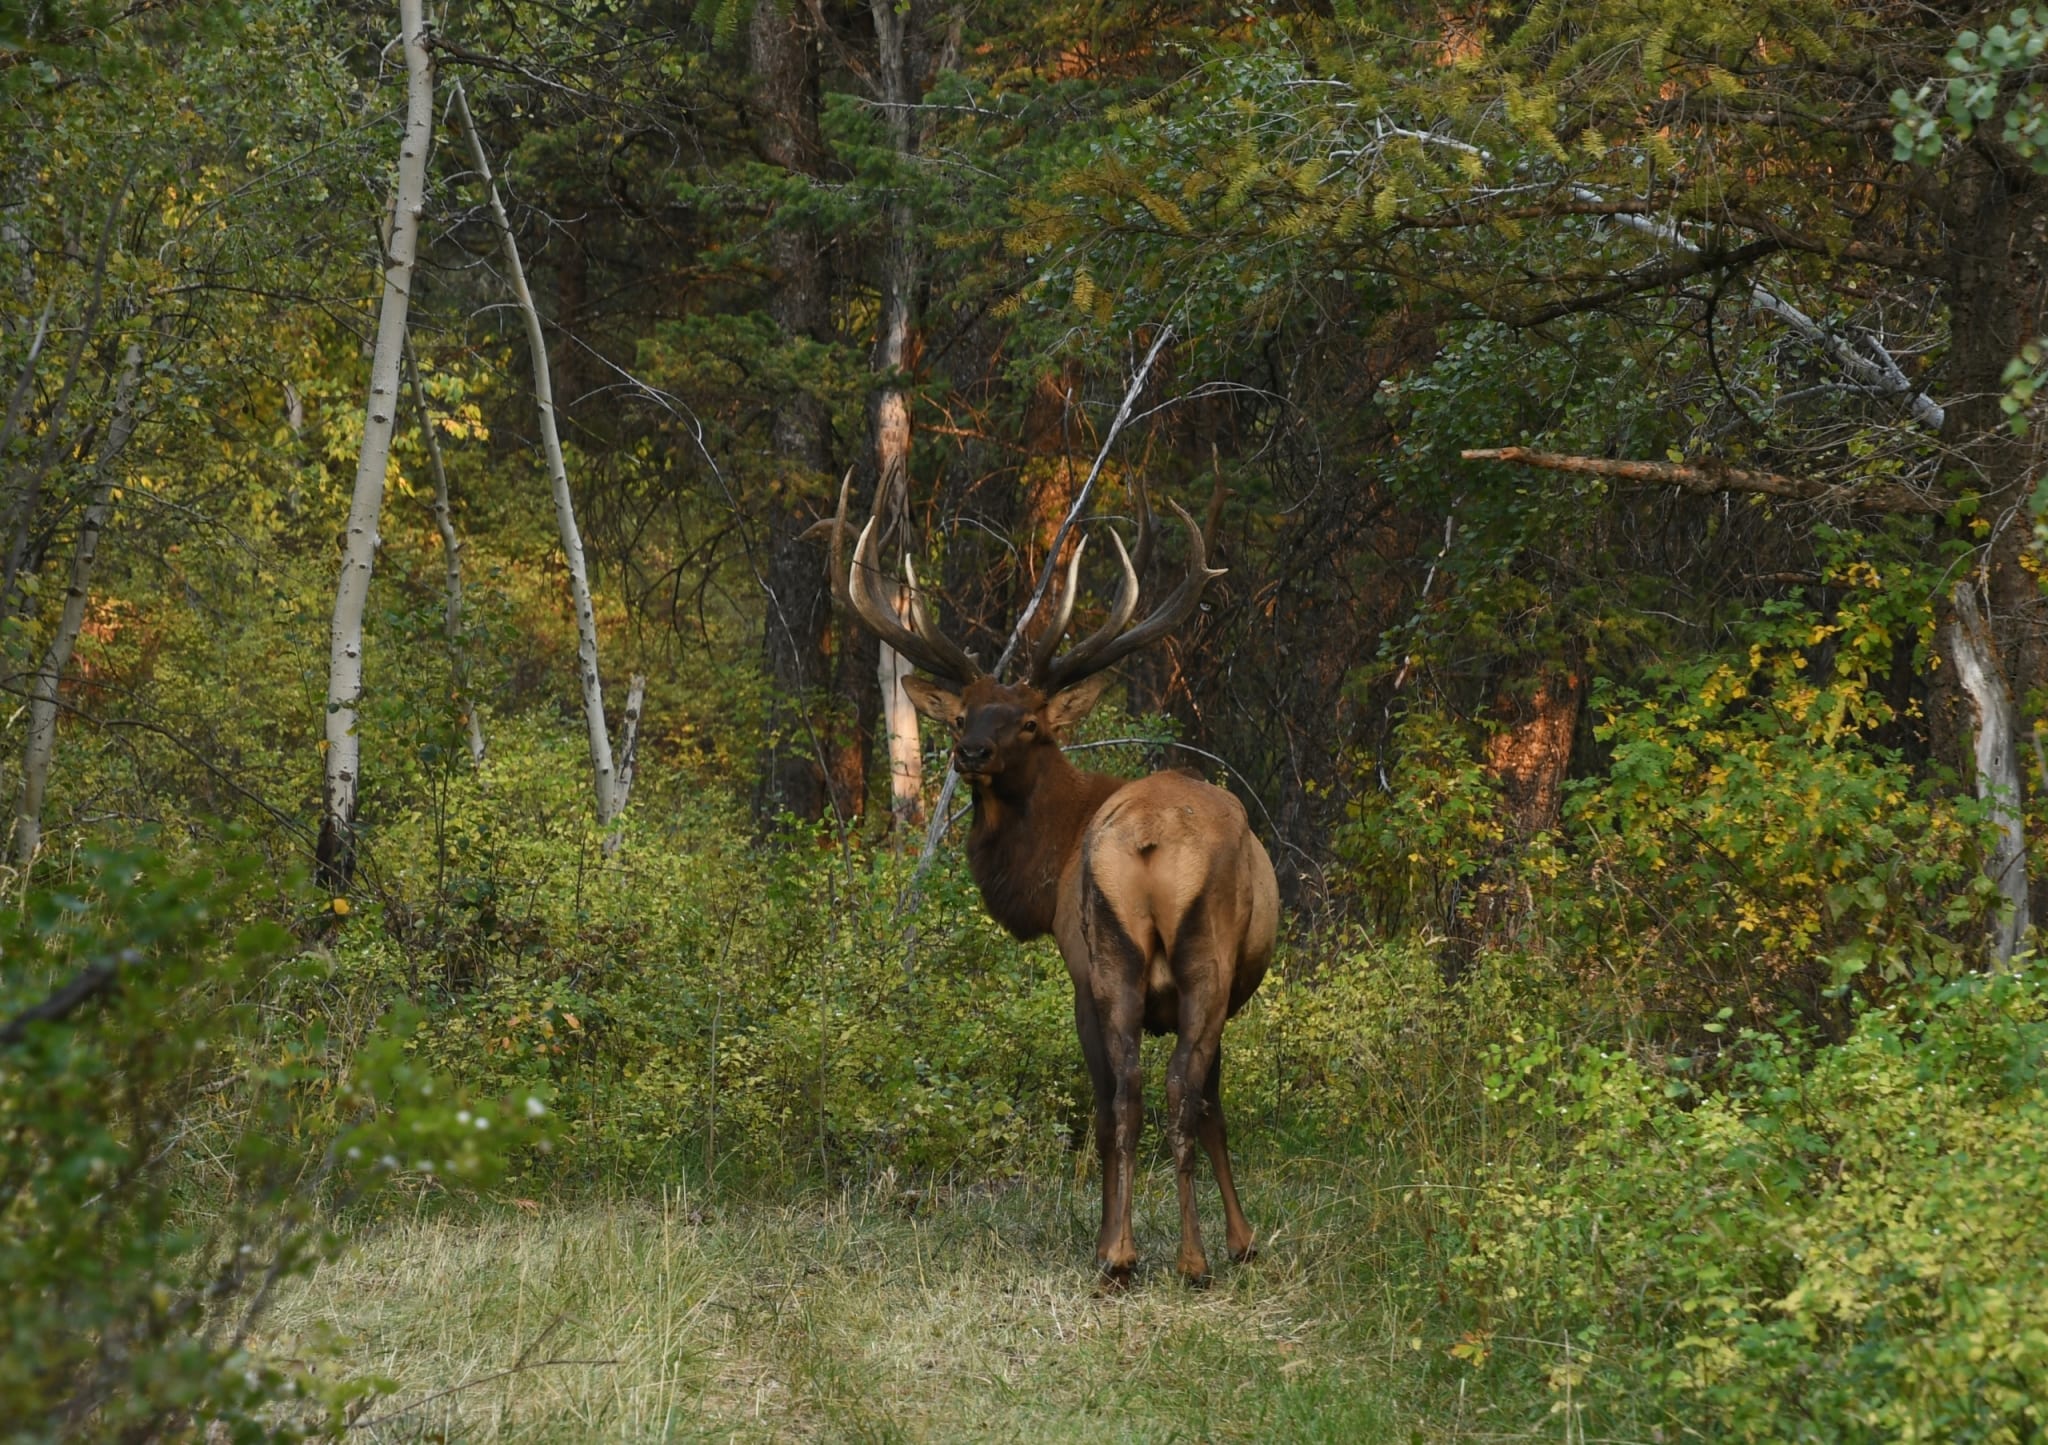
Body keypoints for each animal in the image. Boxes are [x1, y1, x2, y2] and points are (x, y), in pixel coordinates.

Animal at [823, 478, 1269, 1277]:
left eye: (1029, 721)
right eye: (964, 713)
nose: (969, 751)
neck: (1048, 862)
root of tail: (1150, 840)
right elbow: (1207, 1105)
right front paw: (1239, 1238)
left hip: (1115, 962)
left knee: (1128, 1093)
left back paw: (1123, 1253)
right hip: (1188, 961)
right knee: (1171, 1090)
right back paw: (1183, 1257)